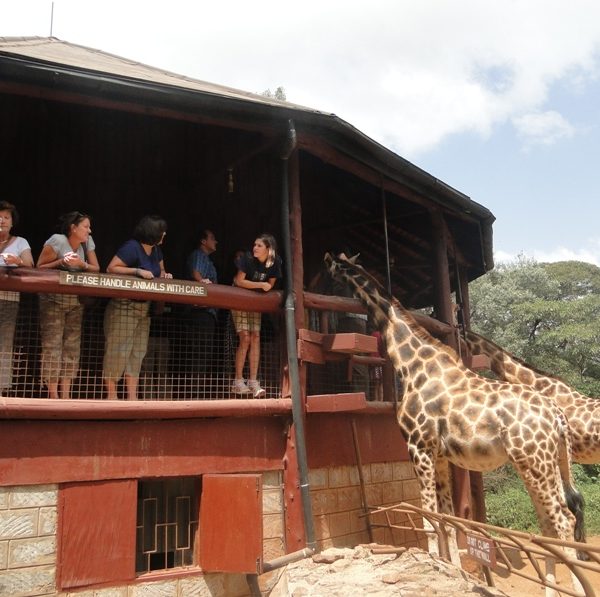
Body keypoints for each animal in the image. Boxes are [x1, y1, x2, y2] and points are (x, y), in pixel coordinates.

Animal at [324, 254, 584, 592]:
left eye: (333, 270)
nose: (323, 269)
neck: (412, 365)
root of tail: (558, 416)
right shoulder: (440, 456)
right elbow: (447, 518)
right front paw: (453, 569)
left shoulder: (418, 447)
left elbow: (428, 514)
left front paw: (434, 562)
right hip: (539, 463)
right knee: (549, 522)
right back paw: (550, 589)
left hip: (536, 462)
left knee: (564, 519)